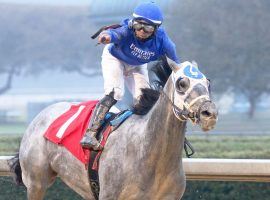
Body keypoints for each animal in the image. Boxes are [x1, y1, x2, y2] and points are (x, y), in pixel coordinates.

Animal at [9, 60, 218, 199]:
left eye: (208, 82)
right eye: (182, 83)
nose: (210, 113)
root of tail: (40, 116)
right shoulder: (110, 195)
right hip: (36, 182)